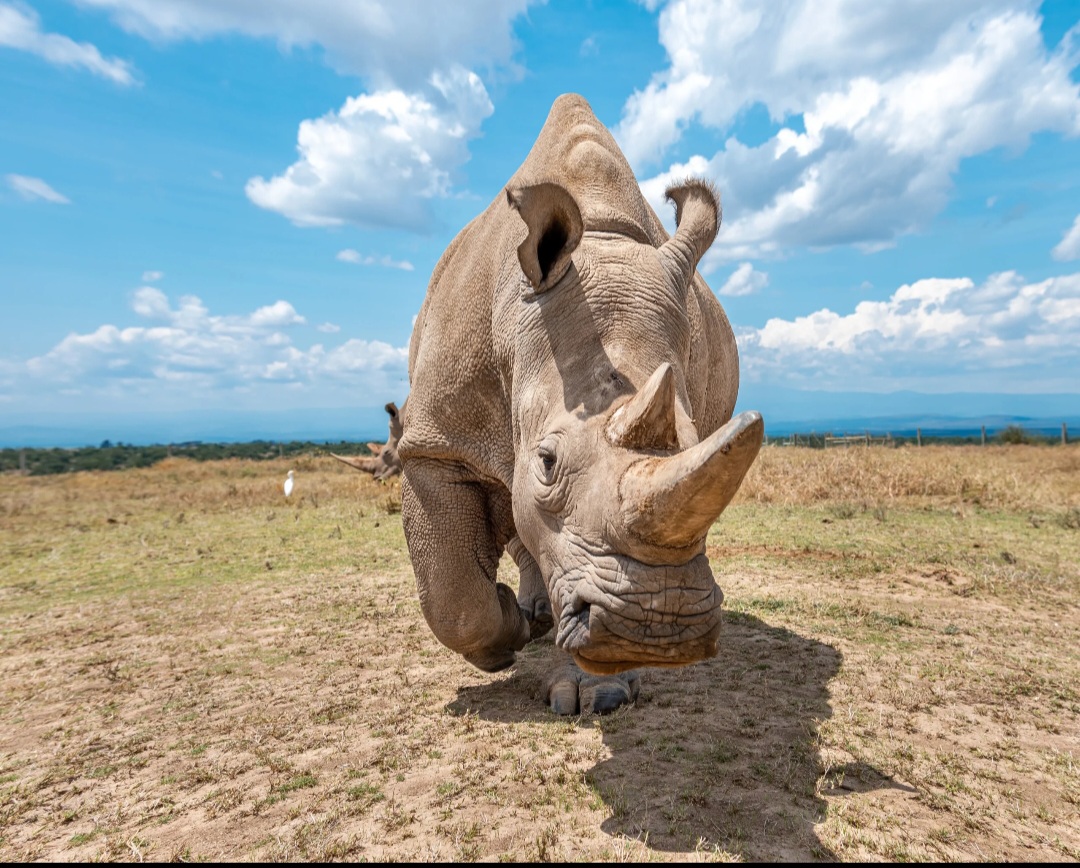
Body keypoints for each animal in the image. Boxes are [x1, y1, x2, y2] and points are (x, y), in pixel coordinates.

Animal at [397, 94, 763, 714]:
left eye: (701, 437)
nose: (658, 627)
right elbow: (451, 592)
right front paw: (502, 641)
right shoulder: (435, 442)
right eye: (546, 462)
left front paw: (599, 690)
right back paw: (531, 619)